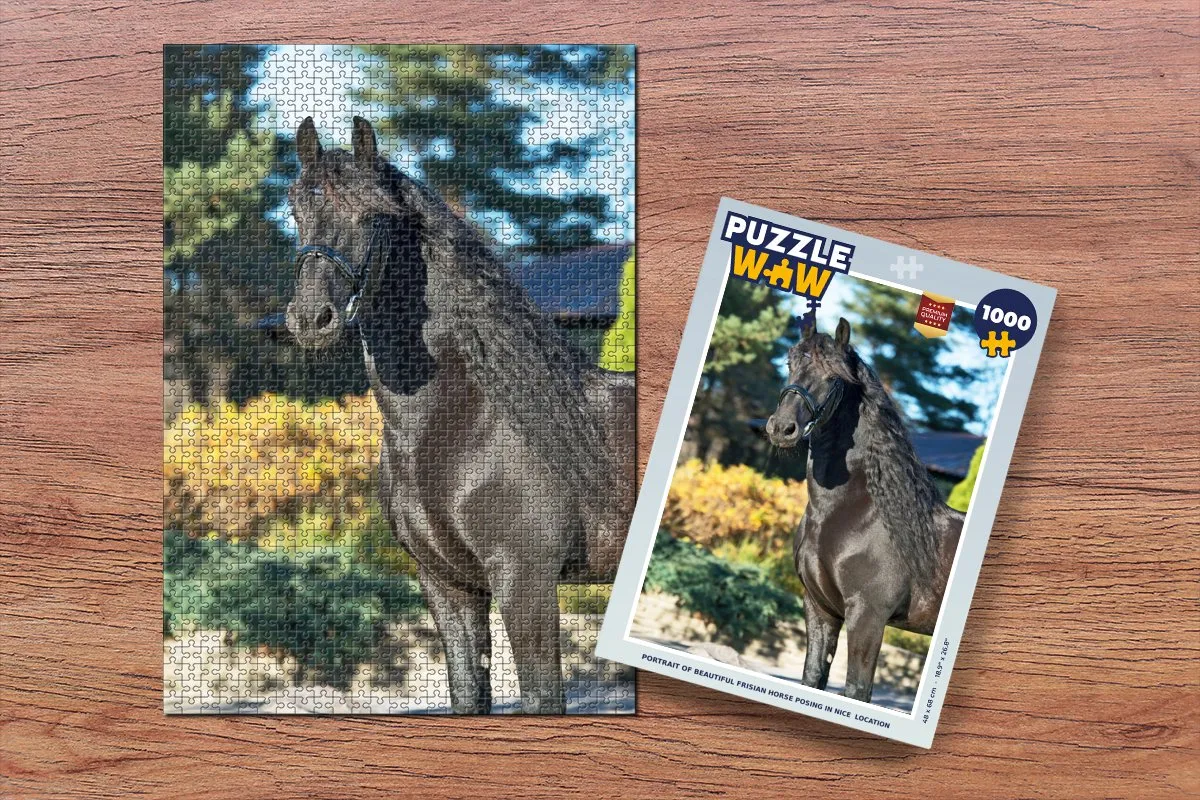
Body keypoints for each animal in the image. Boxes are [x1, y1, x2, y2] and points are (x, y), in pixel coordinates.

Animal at [284, 116, 635, 714]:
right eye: (295, 211)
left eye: (373, 216)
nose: (312, 319)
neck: (464, 426)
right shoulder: (448, 585)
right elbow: (467, 695)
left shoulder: (525, 582)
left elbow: (543, 698)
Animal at [765, 318, 963, 703]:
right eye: (790, 364)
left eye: (834, 377)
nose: (782, 428)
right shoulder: (820, 609)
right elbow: (812, 677)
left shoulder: (867, 616)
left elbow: (856, 691)